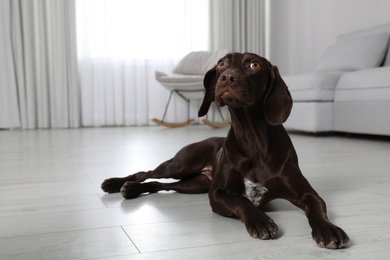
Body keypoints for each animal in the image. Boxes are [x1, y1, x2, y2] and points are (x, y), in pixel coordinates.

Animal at [101, 51, 350, 249]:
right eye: (221, 63)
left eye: (254, 65)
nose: (227, 77)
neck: (253, 139)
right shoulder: (218, 193)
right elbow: (242, 201)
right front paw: (260, 220)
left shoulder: (307, 193)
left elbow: (317, 208)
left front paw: (328, 229)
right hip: (181, 164)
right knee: (146, 173)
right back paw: (117, 184)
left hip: (195, 184)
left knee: (159, 184)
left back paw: (132, 189)